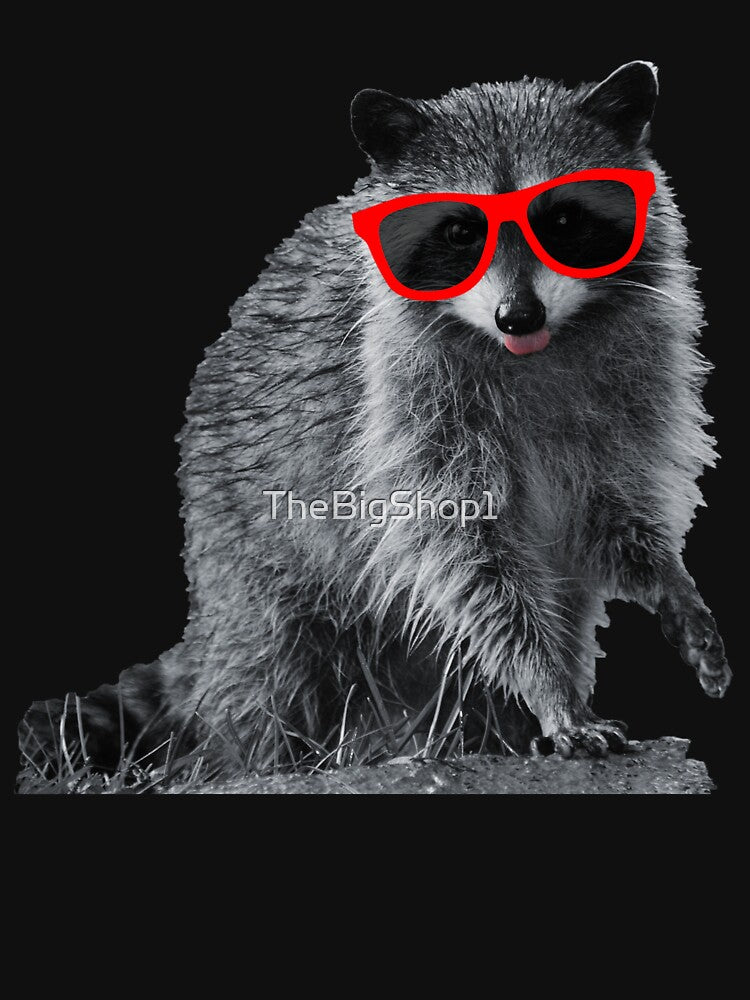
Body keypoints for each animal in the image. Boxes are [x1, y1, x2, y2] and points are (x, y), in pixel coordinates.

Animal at [20, 62, 731, 778]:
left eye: (561, 218)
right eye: (460, 232)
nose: (518, 316)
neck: (533, 351)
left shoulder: (631, 390)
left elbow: (611, 511)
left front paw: (666, 576)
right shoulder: (402, 407)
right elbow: (467, 556)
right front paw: (548, 684)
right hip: (252, 556)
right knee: (269, 679)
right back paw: (254, 759)